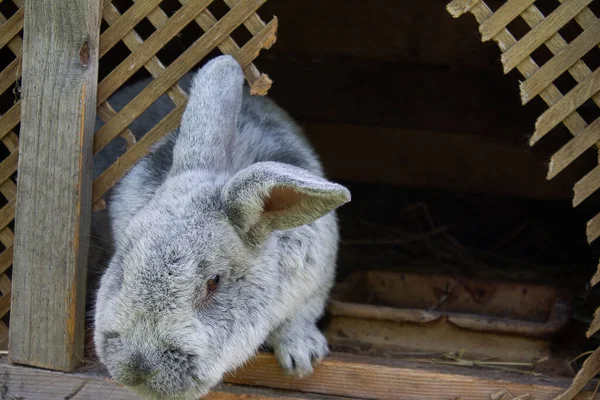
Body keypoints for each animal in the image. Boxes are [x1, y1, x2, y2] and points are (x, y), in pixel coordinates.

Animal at [91, 54, 350, 398]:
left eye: (213, 282)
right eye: (124, 265)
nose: (139, 365)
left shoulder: (317, 282)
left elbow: (301, 317)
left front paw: (302, 360)